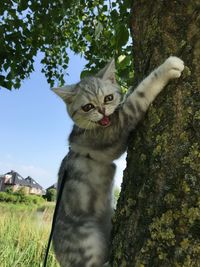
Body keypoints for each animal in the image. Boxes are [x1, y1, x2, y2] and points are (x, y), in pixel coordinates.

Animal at [52, 55, 184, 266]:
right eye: (87, 107)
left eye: (108, 98)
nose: (102, 111)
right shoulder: (117, 130)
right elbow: (140, 94)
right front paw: (167, 67)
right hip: (86, 238)